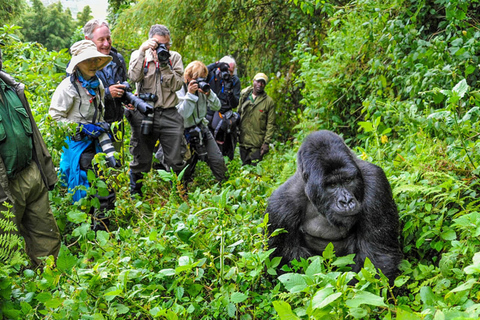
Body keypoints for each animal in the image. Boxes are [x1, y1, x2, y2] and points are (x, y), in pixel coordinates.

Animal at [264, 129, 404, 282]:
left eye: (348, 180)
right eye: (332, 185)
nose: (346, 201)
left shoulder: (376, 183)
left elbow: (377, 257)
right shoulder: (279, 208)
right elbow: (283, 264)